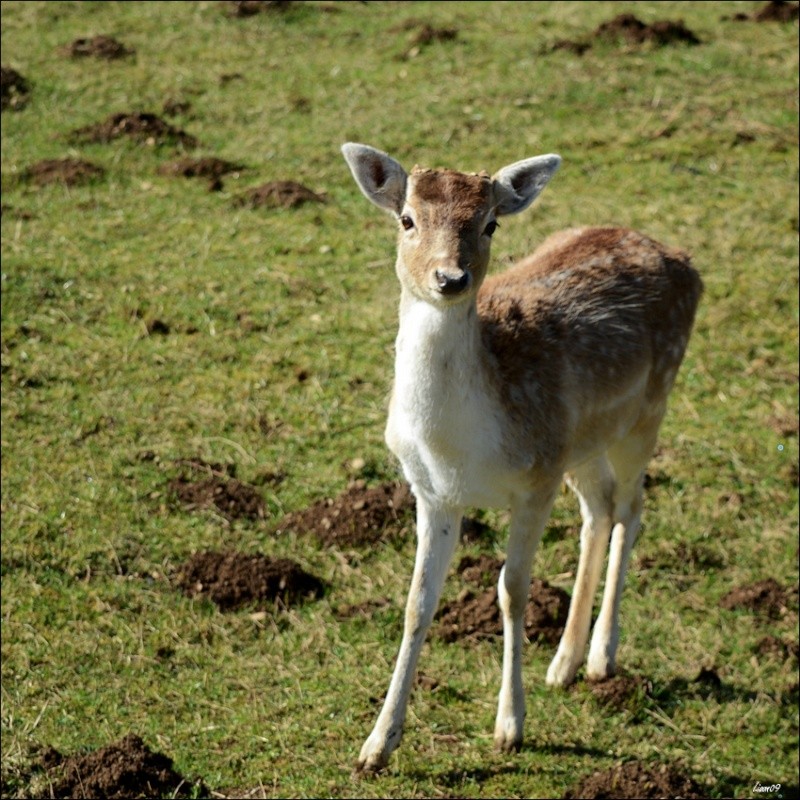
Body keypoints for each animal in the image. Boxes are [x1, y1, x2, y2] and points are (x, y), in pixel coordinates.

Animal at [340, 141, 704, 772]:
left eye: (489, 223)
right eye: (407, 219)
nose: (451, 277)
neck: (459, 448)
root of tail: (684, 261)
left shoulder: (535, 479)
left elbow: (513, 591)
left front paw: (510, 727)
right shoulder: (432, 492)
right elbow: (416, 603)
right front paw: (377, 744)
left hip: (648, 406)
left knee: (632, 506)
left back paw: (601, 657)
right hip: (579, 444)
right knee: (600, 506)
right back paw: (564, 662)